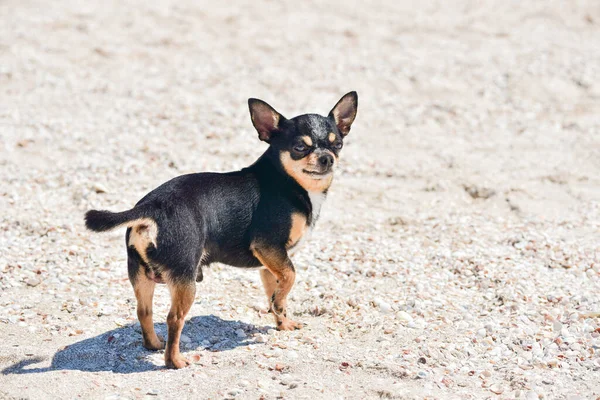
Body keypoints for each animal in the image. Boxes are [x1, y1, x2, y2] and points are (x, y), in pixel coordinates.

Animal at [84, 92, 356, 368]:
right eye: (300, 148)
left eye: (338, 145)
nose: (327, 158)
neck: (290, 183)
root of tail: (152, 208)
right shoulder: (268, 246)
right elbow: (290, 277)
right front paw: (280, 305)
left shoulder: (270, 263)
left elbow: (276, 291)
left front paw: (283, 321)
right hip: (186, 279)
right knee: (174, 318)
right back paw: (175, 361)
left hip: (141, 275)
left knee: (144, 311)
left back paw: (154, 344)